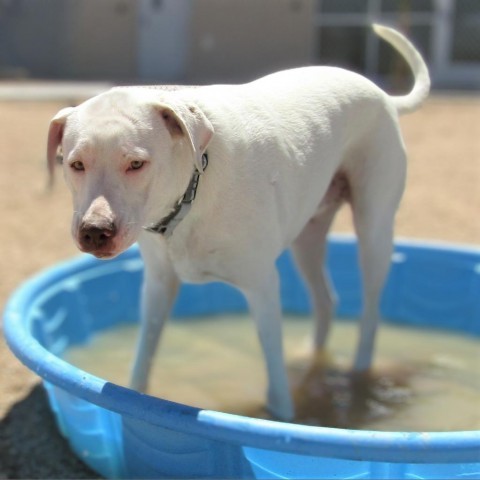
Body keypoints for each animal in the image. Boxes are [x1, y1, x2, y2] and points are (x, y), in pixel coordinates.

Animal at [47, 25, 432, 420]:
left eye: (136, 164)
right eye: (75, 164)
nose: (95, 232)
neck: (195, 188)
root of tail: (384, 95)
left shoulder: (262, 287)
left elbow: (277, 387)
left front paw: (283, 420)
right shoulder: (158, 286)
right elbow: (143, 359)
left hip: (374, 230)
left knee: (370, 314)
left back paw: (358, 381)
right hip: (308, 236)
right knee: (326, 300)